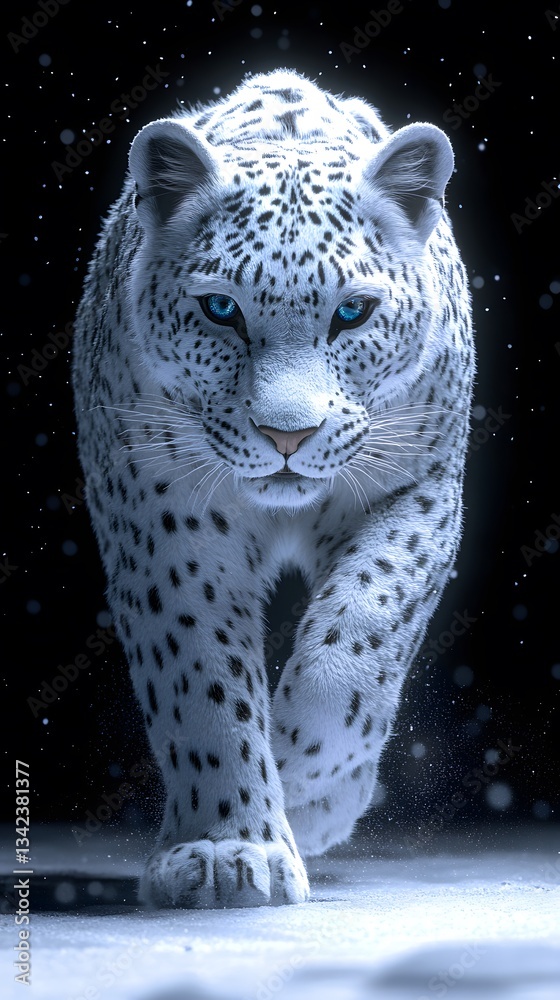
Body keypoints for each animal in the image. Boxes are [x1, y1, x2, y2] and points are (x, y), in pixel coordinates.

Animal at [72, 67, 474, 909]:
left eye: (353, 310)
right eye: (220, 308)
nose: (287, 435)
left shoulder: (420, 484)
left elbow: (356, 632)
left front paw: (310, 793)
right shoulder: (163, 512)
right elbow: (200, 676)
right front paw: (228, 848)